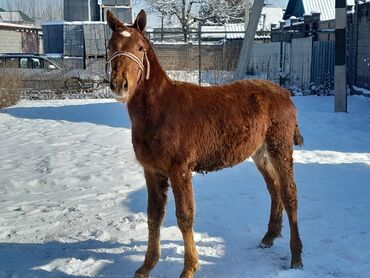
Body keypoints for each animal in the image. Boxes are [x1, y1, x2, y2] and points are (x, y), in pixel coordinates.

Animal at [106, 9, 304, 278]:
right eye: (110, 46)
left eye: (140, 47)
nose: (119, 84)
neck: (160, 110)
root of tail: (285, 93)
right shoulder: (152, 170)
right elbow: (154, 215)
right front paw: (146, 266)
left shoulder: (179, 169)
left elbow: (184, 216)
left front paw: (189, 267)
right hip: (260, 152)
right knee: (274, 188)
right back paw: (269, 236)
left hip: (280, 147)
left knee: (289, 192)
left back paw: (296, 258)